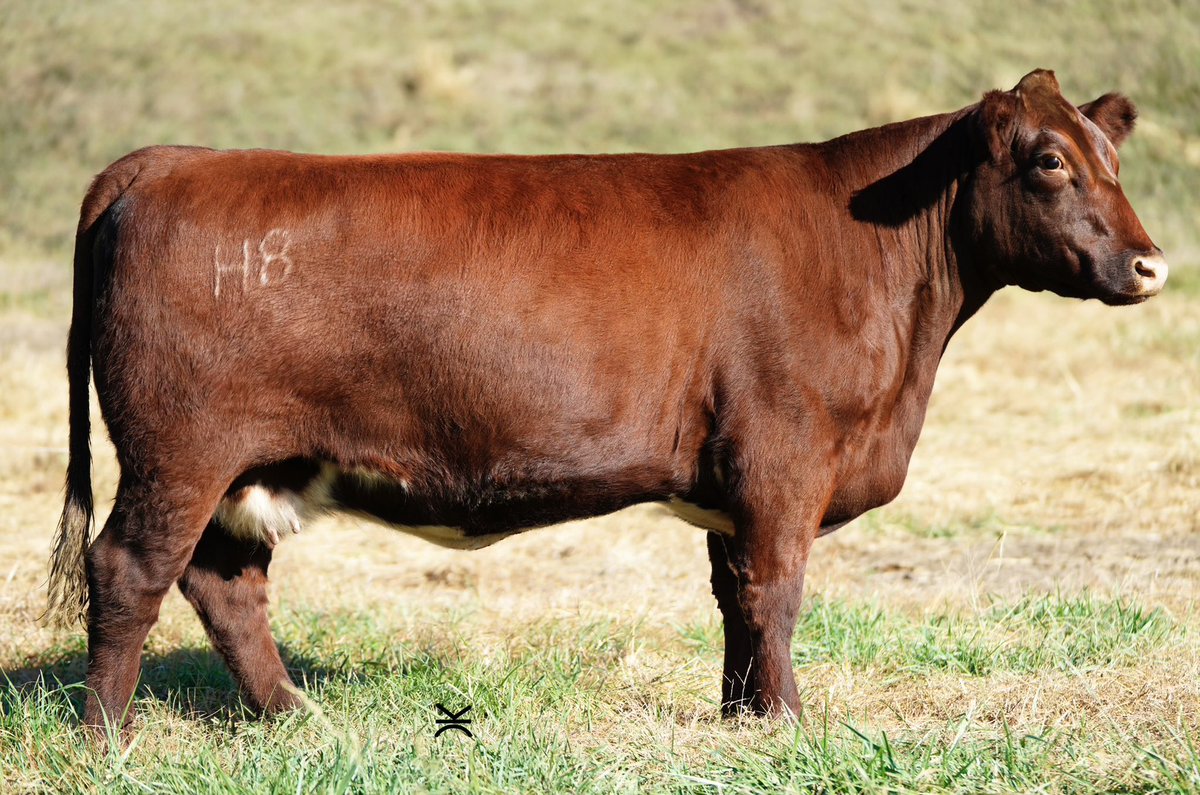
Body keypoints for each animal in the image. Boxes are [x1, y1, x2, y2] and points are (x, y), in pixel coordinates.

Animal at [45, 69, 1166, 736]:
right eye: (1050, 161)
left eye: (1113, 159)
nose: (1152, 263)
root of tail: (171, 160)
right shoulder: (784, 458)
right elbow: (778, 592)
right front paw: (791, 723)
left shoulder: (734, 481)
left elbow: (734, 599)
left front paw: (742, 719)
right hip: (181, 451)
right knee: (130, 569)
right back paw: (107, 737)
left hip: (247, 465)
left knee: (225, 583)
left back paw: (292, 717)